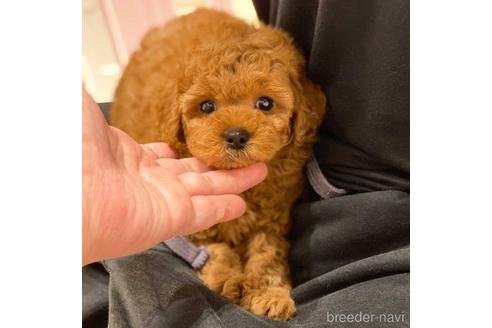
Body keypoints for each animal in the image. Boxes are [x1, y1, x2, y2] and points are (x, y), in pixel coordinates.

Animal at [111, 8, 326, 320]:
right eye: (206, 106)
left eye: (265, 103)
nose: (236, 135)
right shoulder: (195, 223)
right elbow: (216, 249)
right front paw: (228, 280)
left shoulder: (272, 219)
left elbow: (267, 255)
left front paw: (269, 294)